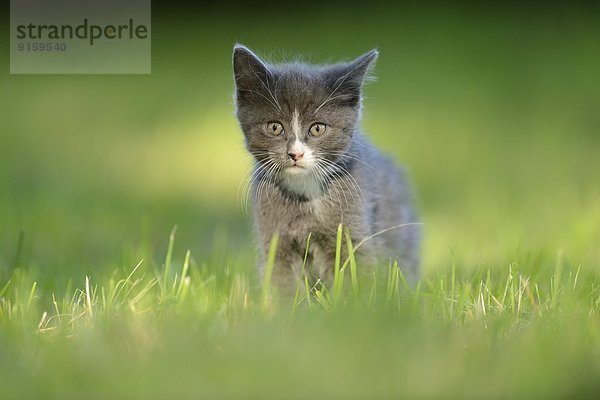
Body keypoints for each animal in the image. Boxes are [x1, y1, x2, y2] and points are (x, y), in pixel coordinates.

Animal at [232, 45, 420, 290]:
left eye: (318, 128)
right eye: (275, 127)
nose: (295, 153)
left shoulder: (353, 232)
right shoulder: (275, 240)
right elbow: (282, 284)